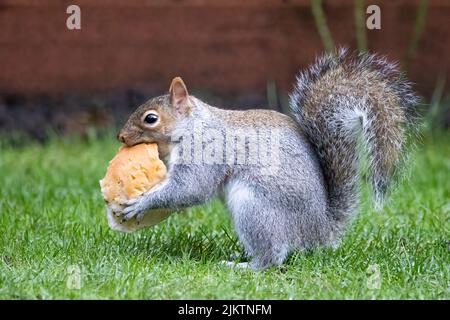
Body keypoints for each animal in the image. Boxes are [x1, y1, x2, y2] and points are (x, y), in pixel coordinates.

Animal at [116, 48, 418, 268]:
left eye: (151, 119)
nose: (120, 137)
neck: (193, 125)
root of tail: (320, 230)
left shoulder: (205, 149)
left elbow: (190, 188)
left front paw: (140, 203)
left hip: (256, 208)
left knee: (273, 257)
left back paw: (246, 266)